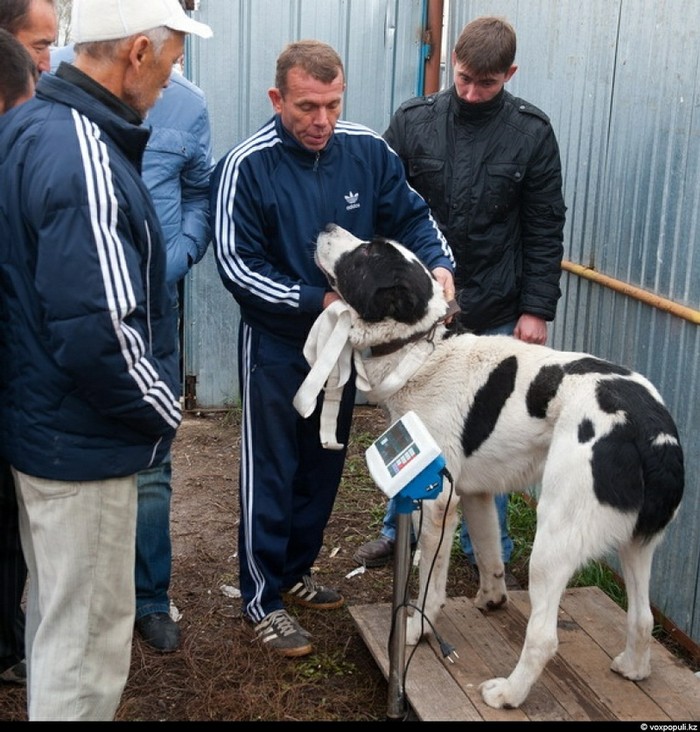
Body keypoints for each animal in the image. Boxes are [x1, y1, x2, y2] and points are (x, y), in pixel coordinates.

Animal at [314, 223, 684, 708]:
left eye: (366, 255)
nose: (326, 227)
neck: (423, 350)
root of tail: (650, 425)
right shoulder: (476, 493)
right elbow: (490, 555)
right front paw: (491, 600)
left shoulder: (438, 503)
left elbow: (429, 589)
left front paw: (416, 631)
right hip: (637, 544)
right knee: (642, 618)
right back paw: (633, 668)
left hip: (553, 540)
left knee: (544, 637)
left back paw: (508, 693)